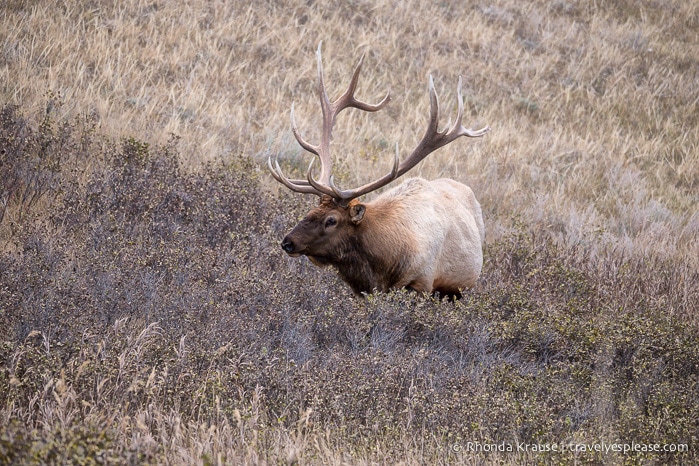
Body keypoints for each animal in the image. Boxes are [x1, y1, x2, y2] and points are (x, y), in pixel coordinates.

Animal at [270, 43, 490, 298]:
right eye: (310, 211)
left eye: (331, 220)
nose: (287, 242)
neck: (383, 265)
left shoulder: (422, 283)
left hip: (460, 289)